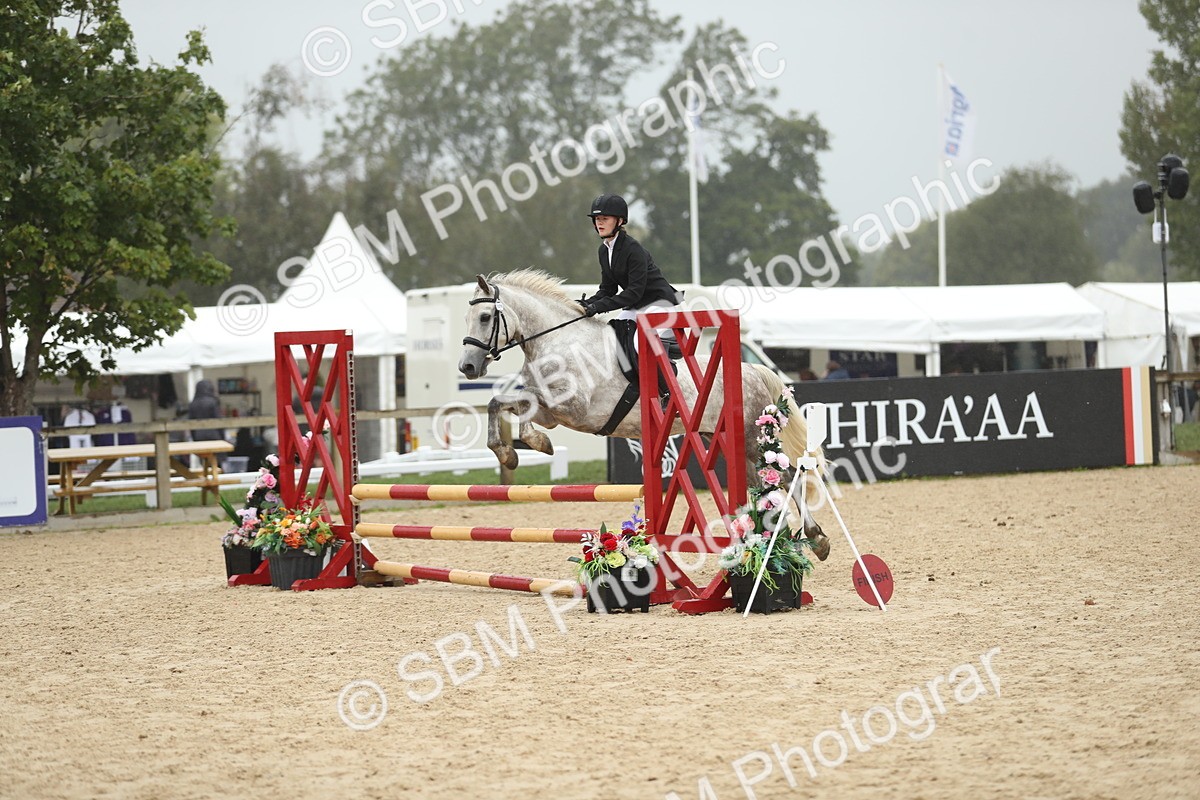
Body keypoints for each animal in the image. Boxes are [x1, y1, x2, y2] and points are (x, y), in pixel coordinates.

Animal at [457, 269, 830, 558]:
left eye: (486, 318)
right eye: (468, 318)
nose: (468, 367)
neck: (558, 343)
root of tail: (752, 370)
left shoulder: (570, 409)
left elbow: (523, 411)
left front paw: (535, 444)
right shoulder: (551, 412)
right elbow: (500, 403)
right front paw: (508, 453)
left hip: (754, 438)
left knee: (789, 476)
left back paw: (816, 538)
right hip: (726, 441)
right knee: (762, 485)